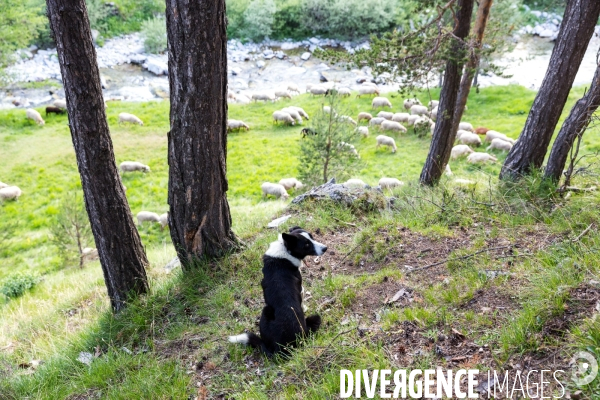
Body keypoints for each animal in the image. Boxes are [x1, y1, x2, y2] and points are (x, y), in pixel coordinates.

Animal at [229, 225, 328, 356]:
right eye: (306, 244)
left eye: (312, 237)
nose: (325, 248)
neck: (286, 249)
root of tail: (280, 349)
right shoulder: (300, 288)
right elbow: (302, 301)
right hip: (269, 311)